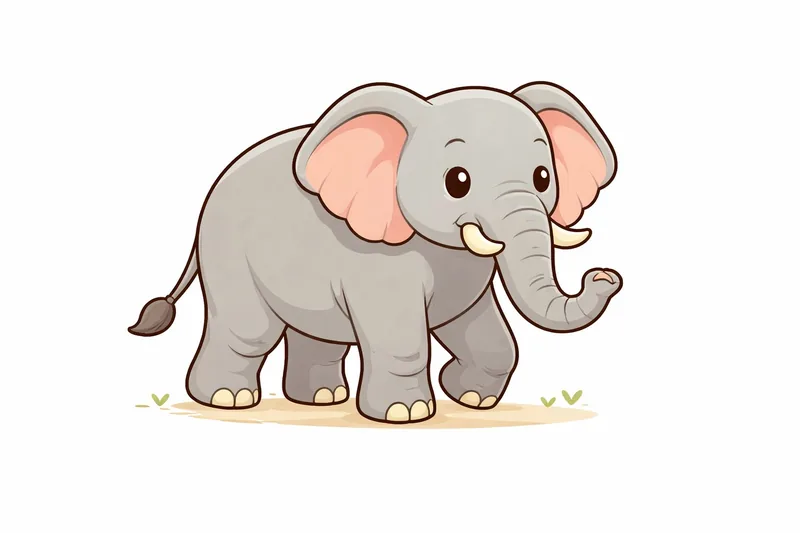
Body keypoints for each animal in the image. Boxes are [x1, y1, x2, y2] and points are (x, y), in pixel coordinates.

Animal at [129, 81, 622, 424]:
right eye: (457, 181)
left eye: (543, 177)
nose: (605, 276)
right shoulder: (380, 263)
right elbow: (402, 336)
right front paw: (407, 414)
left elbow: (487, 333)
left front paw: (469, 398)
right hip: (228, 251)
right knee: (248, 331)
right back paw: (227, 400)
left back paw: (321, 398)